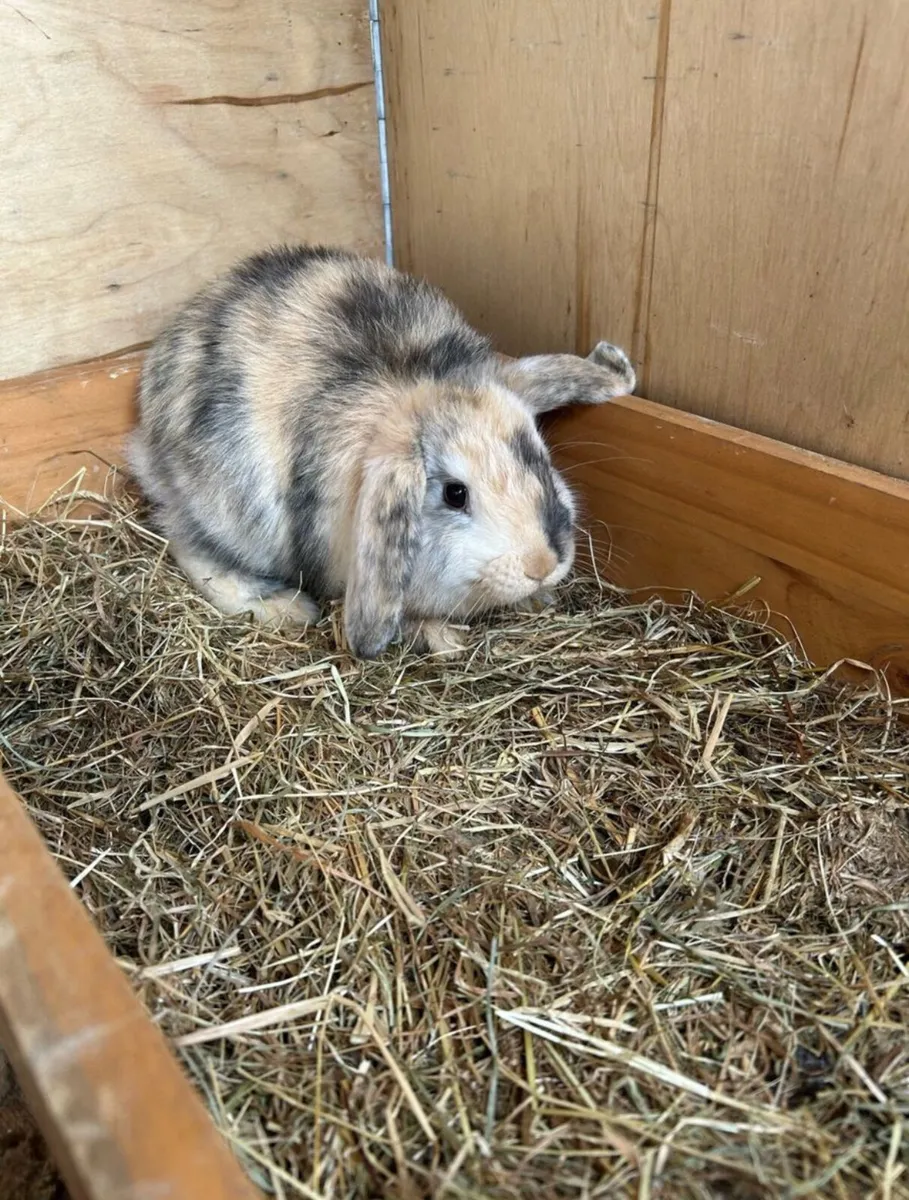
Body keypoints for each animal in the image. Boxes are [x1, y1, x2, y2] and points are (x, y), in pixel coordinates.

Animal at [126, 244, 635, 659]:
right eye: (454, 494)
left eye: (540, 458)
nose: (542, 565)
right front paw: (444, 639)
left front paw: (538, 599)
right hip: (221, 511)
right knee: (187, 544)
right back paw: (285, 607)